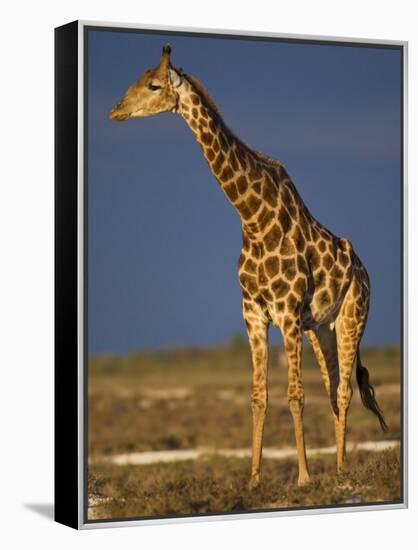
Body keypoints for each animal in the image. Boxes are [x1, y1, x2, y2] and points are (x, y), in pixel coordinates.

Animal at [109, 45, 386, 490]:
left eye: (153, 85)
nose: (115, 110)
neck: (252, 217)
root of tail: (363, 270)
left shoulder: (287, 313)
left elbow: (295, 395)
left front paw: (303, 476)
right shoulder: (253, 311)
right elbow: (259, 397)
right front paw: (254, 478)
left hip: (352, 317)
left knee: (344, 390)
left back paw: (341, 472)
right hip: (320, 328)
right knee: (333, 388)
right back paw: (339, 467)